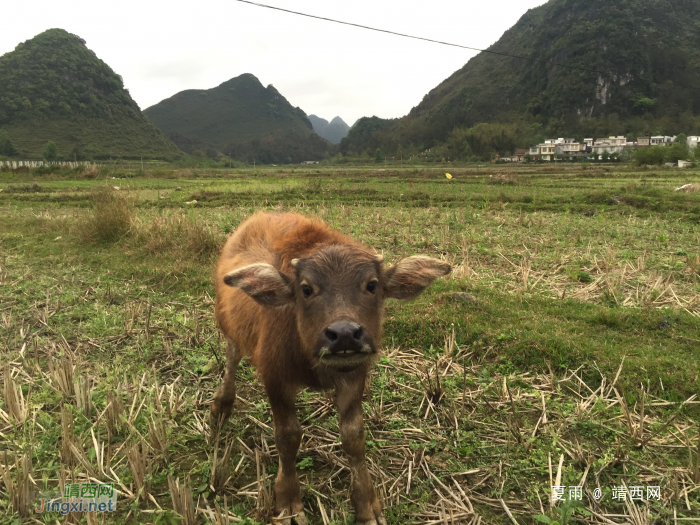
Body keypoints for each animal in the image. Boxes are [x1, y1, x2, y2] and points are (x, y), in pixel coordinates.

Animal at [212, 212, 448, 524]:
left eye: (372, 285)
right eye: (306, 289)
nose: (345, 334)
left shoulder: (354, 376)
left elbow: (353, 436)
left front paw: (366, 504)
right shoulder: (275, 378)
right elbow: (287, 436)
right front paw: (288, 501)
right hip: (228, 325)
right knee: (231, 355)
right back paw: (221, 406)